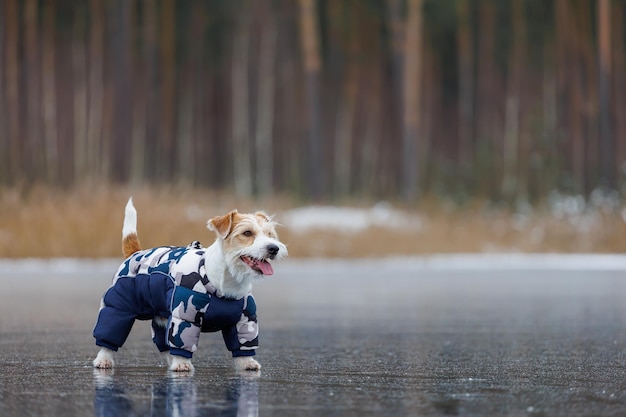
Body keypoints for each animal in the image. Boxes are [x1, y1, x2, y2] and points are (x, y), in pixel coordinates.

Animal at [91, 198, 286, 370]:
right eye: (247, 233)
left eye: (270, 234)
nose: (274, 248)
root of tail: (135, 253)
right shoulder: (185, 317)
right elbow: (181, 343)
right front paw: (182, 363)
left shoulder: (245, 320)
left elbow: (243, 344)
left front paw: (247, 362)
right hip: (119, 307)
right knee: (110, 334)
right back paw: (104, 359)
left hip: (161, 315)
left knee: (163, 342)